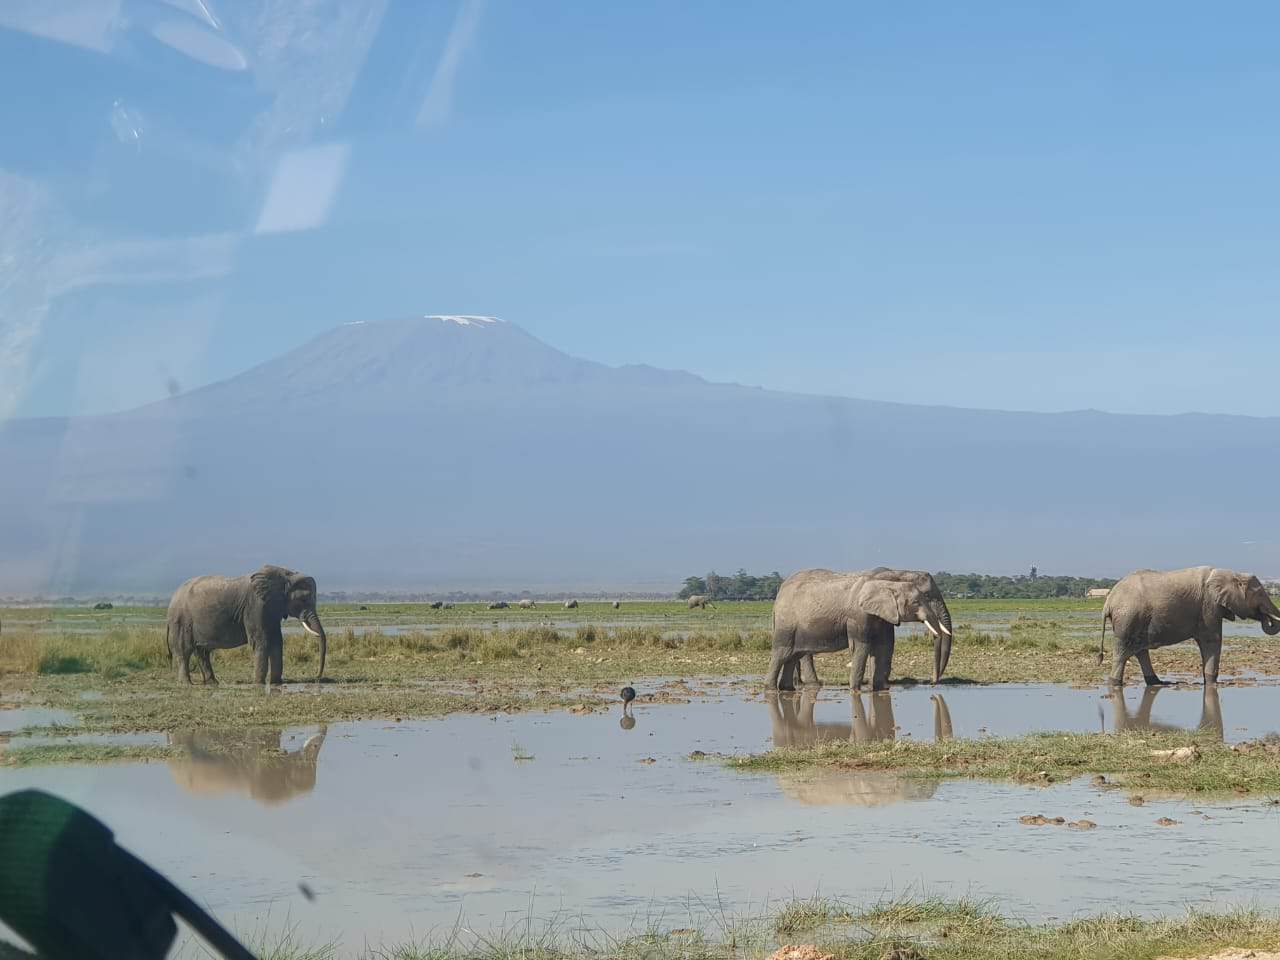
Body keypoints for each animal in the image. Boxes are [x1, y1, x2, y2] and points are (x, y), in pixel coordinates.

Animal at [165, 564, 327, 685]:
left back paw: (212, 683)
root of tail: (173, 598)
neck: (286, 574)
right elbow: (261, 640)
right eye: (303, 600)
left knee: (202, 652)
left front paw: (276, 682)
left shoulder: (271, 608)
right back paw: (187, 684)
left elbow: (276, 640)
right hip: (181, 620)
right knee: (184, 651)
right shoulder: (255, 605)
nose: (317, 677)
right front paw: (259, 683)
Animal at [766, 568, 953, 691]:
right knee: (783, 653)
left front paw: (879, 688)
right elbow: (861, 647)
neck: (894, 575)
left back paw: (790, 688)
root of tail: (777, 596)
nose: (932, 683)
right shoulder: (858, 615)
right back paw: (776, 689)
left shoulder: (883, 615)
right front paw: (857, 690)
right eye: (924, 597)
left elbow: (885, 646)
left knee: (794, 654)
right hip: (787, 623)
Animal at [1100, 566, 1280, 686]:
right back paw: (1115, 683)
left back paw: (1157, 683)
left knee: (1139, 651)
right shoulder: (1209, 606)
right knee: (1123, 651)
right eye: (1260, 593)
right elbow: (1212, 640)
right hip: (1128, 618)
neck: (1231, 573)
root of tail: (1108, 601)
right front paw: (1212, 683)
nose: (1265, 616)